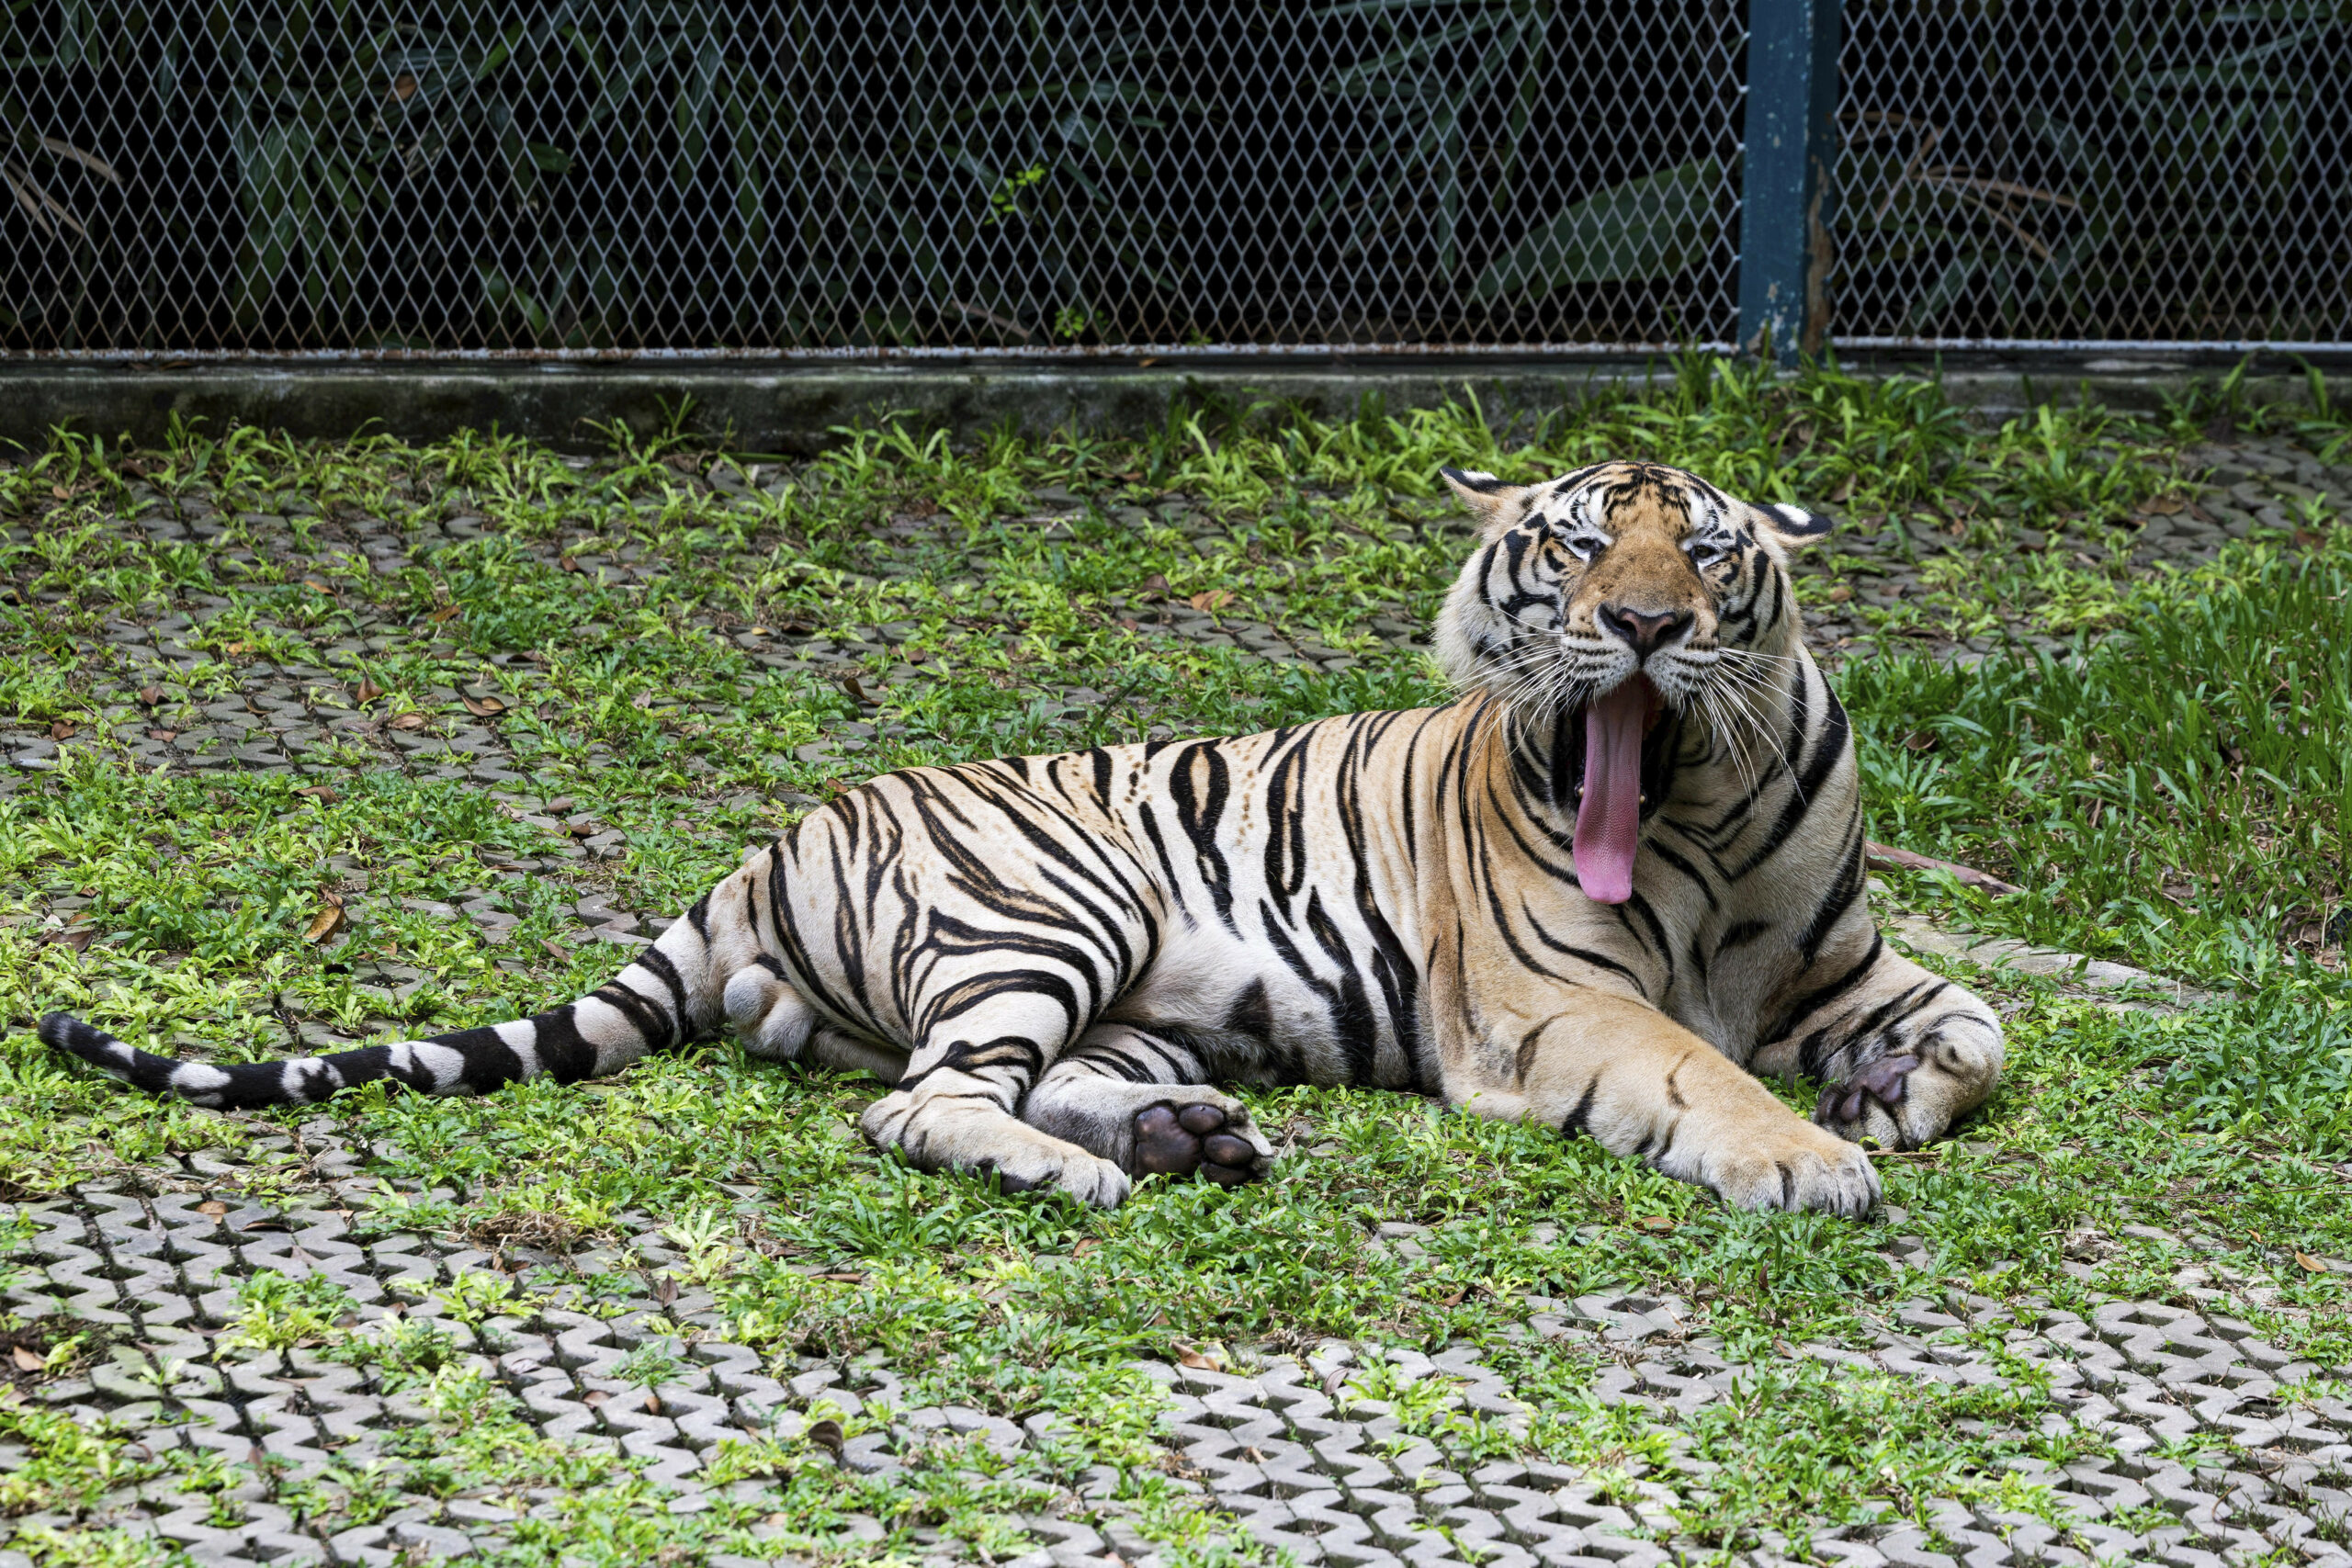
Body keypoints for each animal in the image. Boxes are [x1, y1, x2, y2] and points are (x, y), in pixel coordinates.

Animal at [42, 460, 2004, 1215]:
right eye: (1583, 547)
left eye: (1707, 553)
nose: (1651, 627)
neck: (1694, 813)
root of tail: (761, 851)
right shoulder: (1550, 1004)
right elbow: (1699, 1070)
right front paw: (1813, 1154)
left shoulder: (1843, 955)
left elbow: (1979, 1026)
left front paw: (1886, 1092)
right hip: (1051, 909)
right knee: (923, 1104)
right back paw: (1098, 1170)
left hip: (1136, 992)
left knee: (1003, 1079)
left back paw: (1183, 1134)